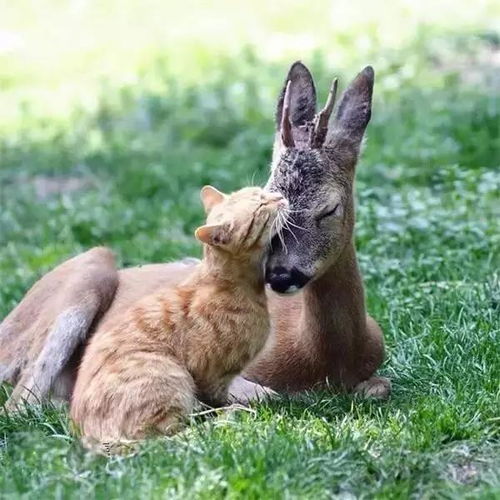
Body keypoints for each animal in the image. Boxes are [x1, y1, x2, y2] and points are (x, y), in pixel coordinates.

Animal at [0, 61, 390, 410]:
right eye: (269, 199)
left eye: (329, 209)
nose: (280, 275)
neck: (322, 357)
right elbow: (257, 393)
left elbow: (380, 386)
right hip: (88, 272)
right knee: (22, 402)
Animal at [72, 185, 288, 450]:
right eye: (260, 206)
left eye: (260, 191)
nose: (280, 196)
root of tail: (89, 437)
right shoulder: (211, 376)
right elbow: (217, 398)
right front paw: (236, 407)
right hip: (169, 375)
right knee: (168, 437)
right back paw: (228, 418)